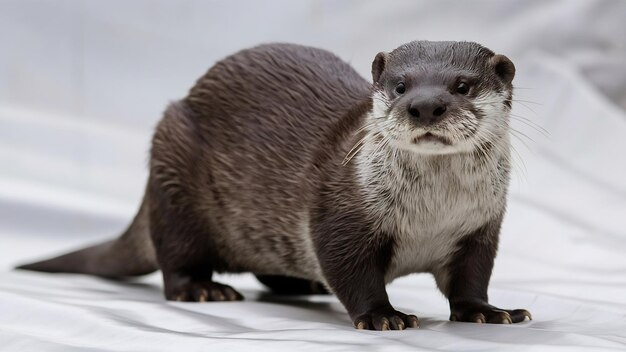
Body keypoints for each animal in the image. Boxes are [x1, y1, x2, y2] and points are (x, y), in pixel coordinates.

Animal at [15, 40, 528, 330]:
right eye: (400, 86)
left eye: (462, 85)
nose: (424, 106)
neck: (432, 216)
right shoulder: (339, 213)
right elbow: (352, 270)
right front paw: (384, 315)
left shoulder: (480, 228)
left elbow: (472, 277)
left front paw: (487, 311)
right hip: (172, 168)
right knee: (174, 259)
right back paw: (205, 290)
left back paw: (303, 286)